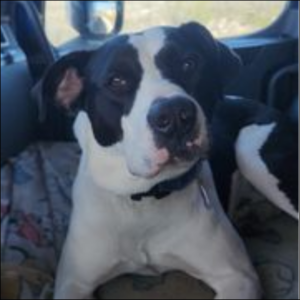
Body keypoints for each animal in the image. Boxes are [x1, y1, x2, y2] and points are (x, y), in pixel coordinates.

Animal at [38, 22, 262, 298]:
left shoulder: (238, 277)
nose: (175, 115)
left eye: (189, 63)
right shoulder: (73, 282)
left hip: (250, 149)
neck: (144, 198)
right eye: (116, 81)